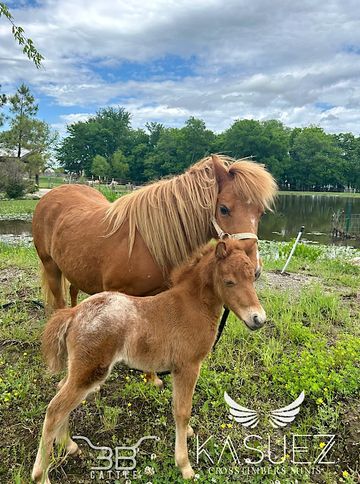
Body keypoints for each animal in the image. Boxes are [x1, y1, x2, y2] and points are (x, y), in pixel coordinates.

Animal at [31, 239, 268, 484]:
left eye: (253, 278)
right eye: (229, 281)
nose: (258, 319)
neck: (192, 306)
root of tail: (74, 313)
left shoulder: (177, 369)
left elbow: (178, 406)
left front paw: (188, 434)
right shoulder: (188, 366)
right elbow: (182, 411)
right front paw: (185, 466)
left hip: (80, 371)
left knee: (60, 395)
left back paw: (68, 444)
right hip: (90, 372)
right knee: (55, 410)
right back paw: (41, 475)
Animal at [32, 154, 278, 310]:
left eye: (261, 213)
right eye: (224, 209)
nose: (254, 267)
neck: (146, 243)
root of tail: (50, 194)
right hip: (50, 266)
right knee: (60, 302)